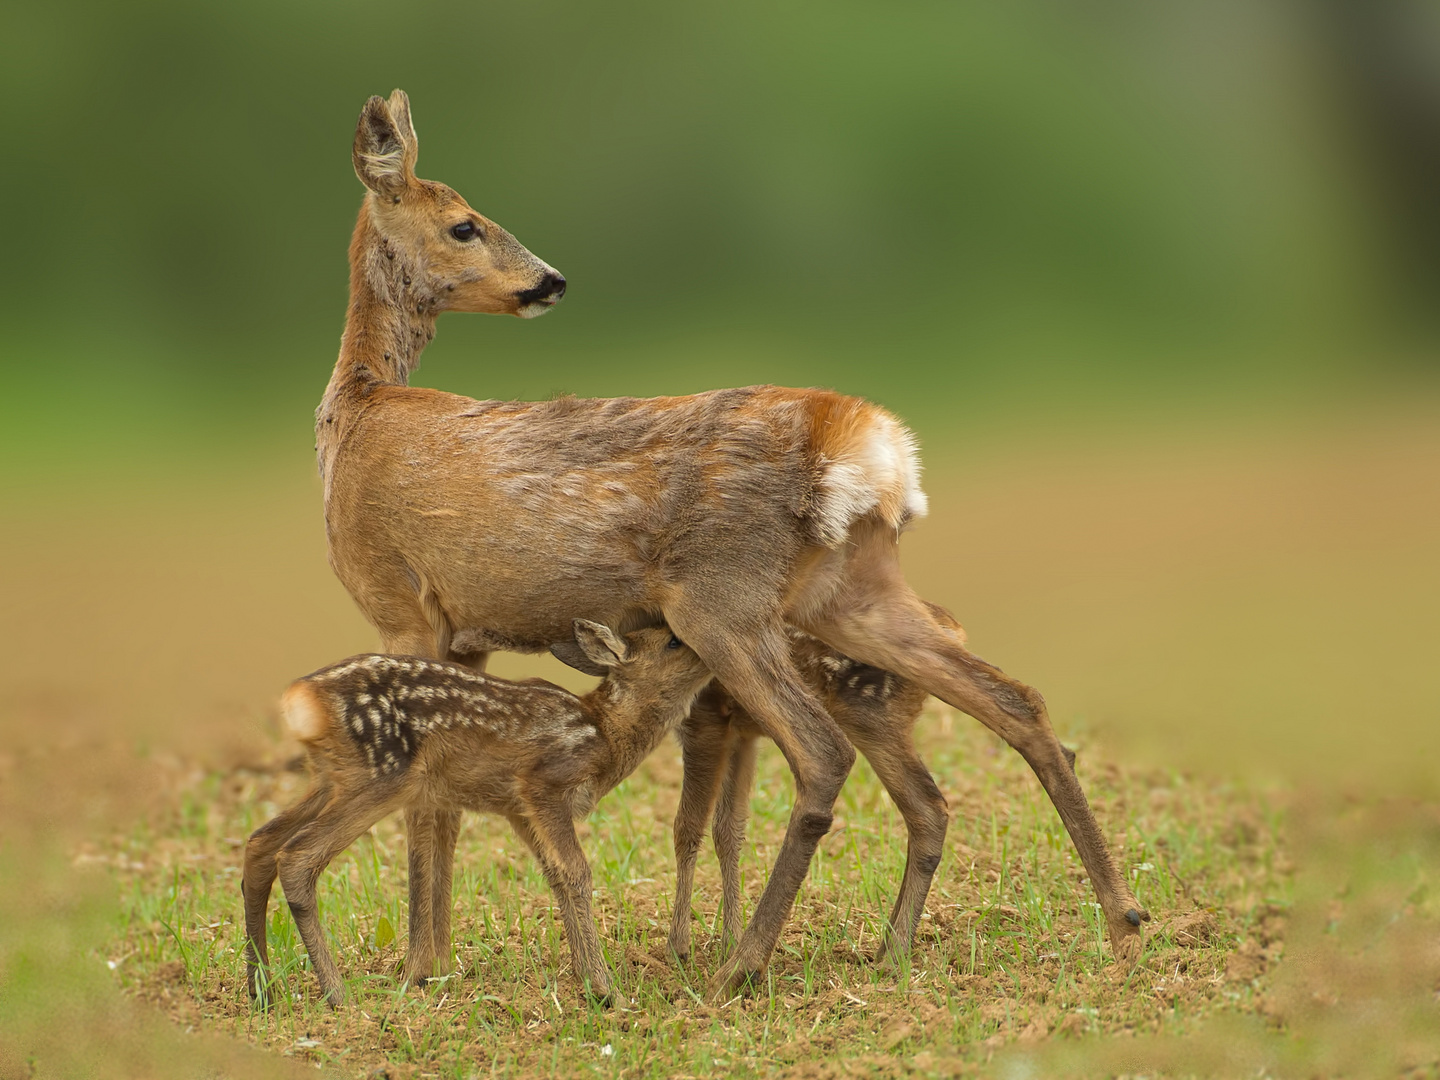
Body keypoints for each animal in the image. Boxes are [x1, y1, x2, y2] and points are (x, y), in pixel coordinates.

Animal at [249, 622, 720, 1013]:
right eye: (673, 641)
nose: (711, 654)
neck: (605, 734)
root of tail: (301, 698)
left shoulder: (517, 808)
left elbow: (556, 877)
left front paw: (588, 982)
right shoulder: (543, 783)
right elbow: (578, 872)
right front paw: (610, 992)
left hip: (330, 778)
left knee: (259, 843)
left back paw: (263, 992)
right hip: (382, 775)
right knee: (297, 857)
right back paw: (338, 995)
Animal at [315, 91, 1146, 996]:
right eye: (464, 225)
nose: (551, 280)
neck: (356, 415)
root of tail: (869, 443)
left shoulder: (400, 602)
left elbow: (426, 799)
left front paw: (419, 968)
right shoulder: (464, 629)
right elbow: (444, 801)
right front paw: (432, 960)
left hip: (721, 598)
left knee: (822, 755)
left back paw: (743, 964)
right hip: (851, 593)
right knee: (1014, 704)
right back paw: (1112, 919)